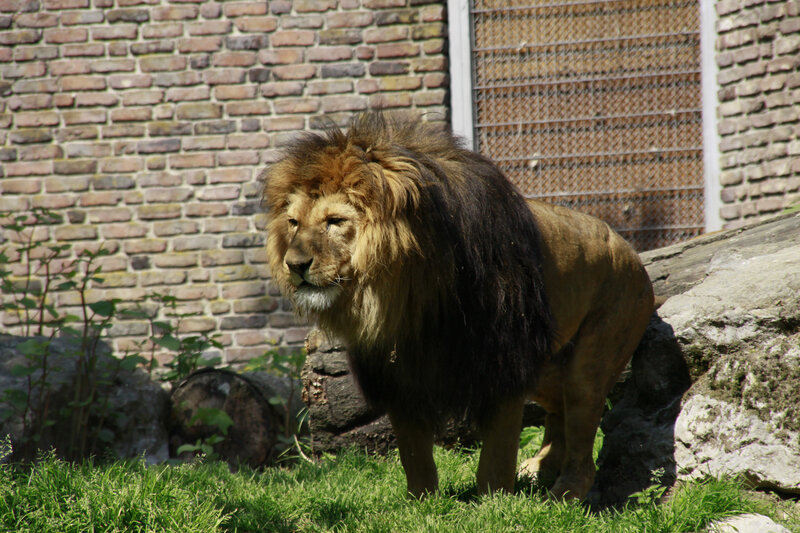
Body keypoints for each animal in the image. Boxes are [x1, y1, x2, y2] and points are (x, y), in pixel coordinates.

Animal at [261, 112, 654, 501]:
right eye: (293, 223)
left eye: (335, 221)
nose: (294, 265)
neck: (409, 297)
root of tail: (632, 253)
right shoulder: (400, 376)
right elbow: (414, 455)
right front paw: (422, 502)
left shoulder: (504, 362)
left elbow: (496, 454)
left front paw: (494, 503)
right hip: (546, 365)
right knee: (557, 413)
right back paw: (540, 469)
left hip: (593, 355)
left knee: (583, 434)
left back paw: (565, 493)